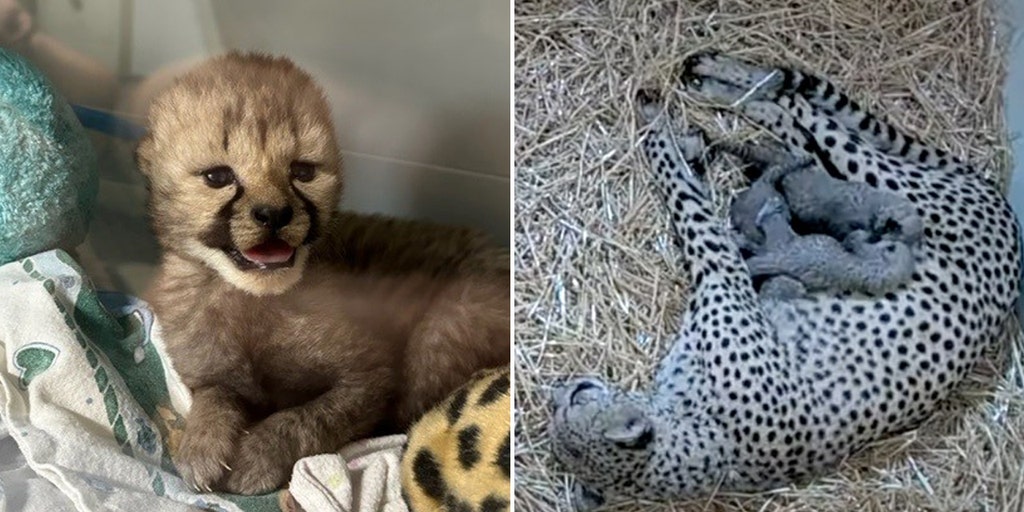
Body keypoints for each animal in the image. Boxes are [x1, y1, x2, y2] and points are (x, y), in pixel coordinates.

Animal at [547, 51, 1021, 510]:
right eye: (562, 403)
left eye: (577, 397)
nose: (557, 389)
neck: (703, 443)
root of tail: (1001, 204)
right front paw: (688, 143)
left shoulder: (722, 266)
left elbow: (681, 188)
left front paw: (655, 122)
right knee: (800, 126)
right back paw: (733, 91)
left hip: (885, 180)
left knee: (810, 114)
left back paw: (721, 77)